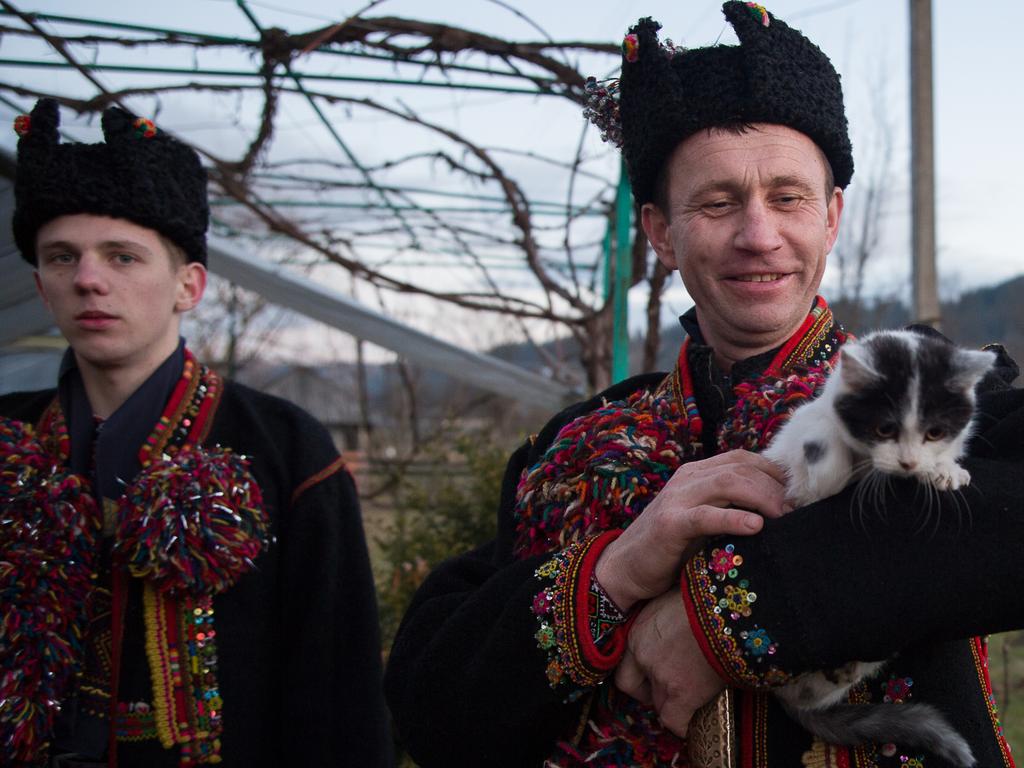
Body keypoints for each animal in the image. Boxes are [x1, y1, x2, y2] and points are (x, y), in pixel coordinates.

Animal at [765, 331, 995, 768]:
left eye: (934, 432)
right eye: (884, 428)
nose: (907, 463)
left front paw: (945, 470)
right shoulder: (801, 430)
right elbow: (822, 455)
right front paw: (831, 463)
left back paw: (842, 670)